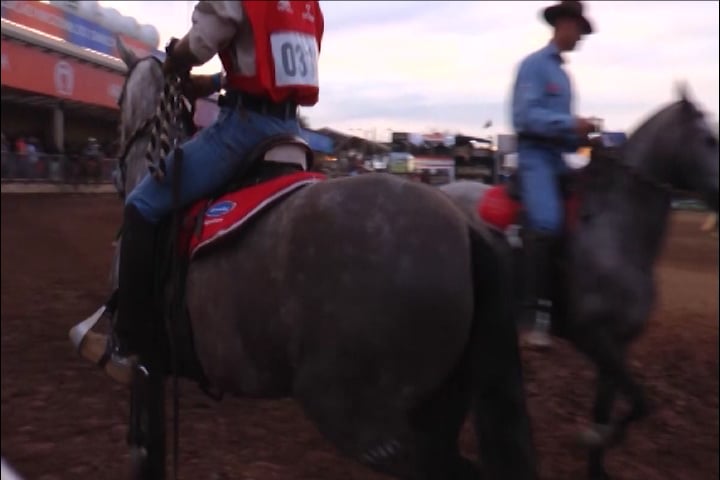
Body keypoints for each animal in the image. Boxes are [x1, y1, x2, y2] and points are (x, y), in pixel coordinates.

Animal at [71, 42, 540, 480]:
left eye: (118, 101)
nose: (113, 171)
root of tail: (463, 229)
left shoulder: (145, 366)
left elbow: (144, 450)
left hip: (357, 416)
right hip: (439, 405)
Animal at [442, 88, 716, 478]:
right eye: (710, 140)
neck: (615, 230)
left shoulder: (618, 344)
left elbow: (612, 406)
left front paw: (597, 461)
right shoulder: (591, 336)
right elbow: (641, 401)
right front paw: (594, 437)